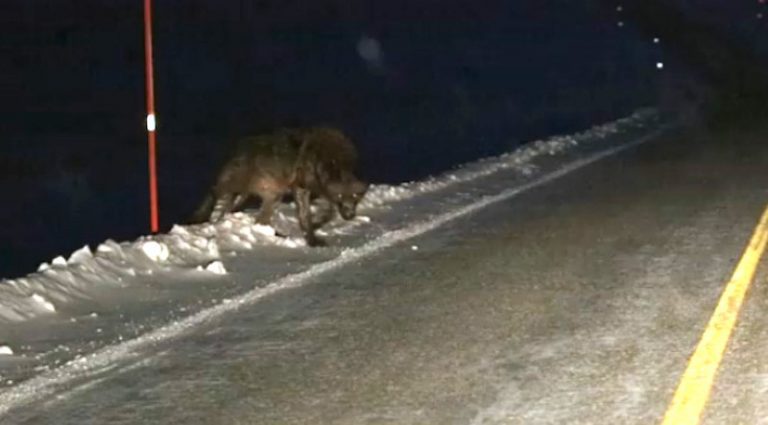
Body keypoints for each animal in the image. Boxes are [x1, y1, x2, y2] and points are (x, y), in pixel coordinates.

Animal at [191, 127, 369, 247]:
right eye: (340, 196)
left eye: (355, 197)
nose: (350, 215)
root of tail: (237, 147)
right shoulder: (301, 187)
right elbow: (306, 215)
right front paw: (312, 237)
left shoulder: (314, 190)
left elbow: (325, 214)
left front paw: (314, 233)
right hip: (237, 182)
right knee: (214, 191)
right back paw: (201, 216)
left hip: (271, 194)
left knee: (258, 220)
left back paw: (275, 235)